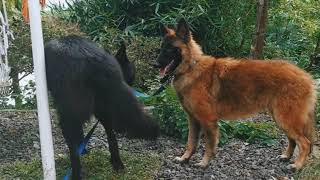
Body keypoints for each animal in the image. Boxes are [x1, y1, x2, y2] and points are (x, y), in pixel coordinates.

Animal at [44, 35, 159, 179]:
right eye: (132, 75)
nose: (131, 84)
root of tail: (94, 61)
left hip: (69, 115)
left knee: (74, 151)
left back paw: (76, 174)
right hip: (102, 110)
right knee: (111, 136)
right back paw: (117, 164)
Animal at [154, 19, 316, 171]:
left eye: (170, 49)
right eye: (161, 48)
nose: (155, 65)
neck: (191, 68)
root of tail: (306, 76)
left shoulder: (208, 121)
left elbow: (209, 146)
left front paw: (204, 163)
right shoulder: (193, 119)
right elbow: (191, 142)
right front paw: (185, 158)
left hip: (285, 119)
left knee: (305, 143)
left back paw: (297, 165)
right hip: (281, 118)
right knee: (293, 140)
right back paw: (286, 156)